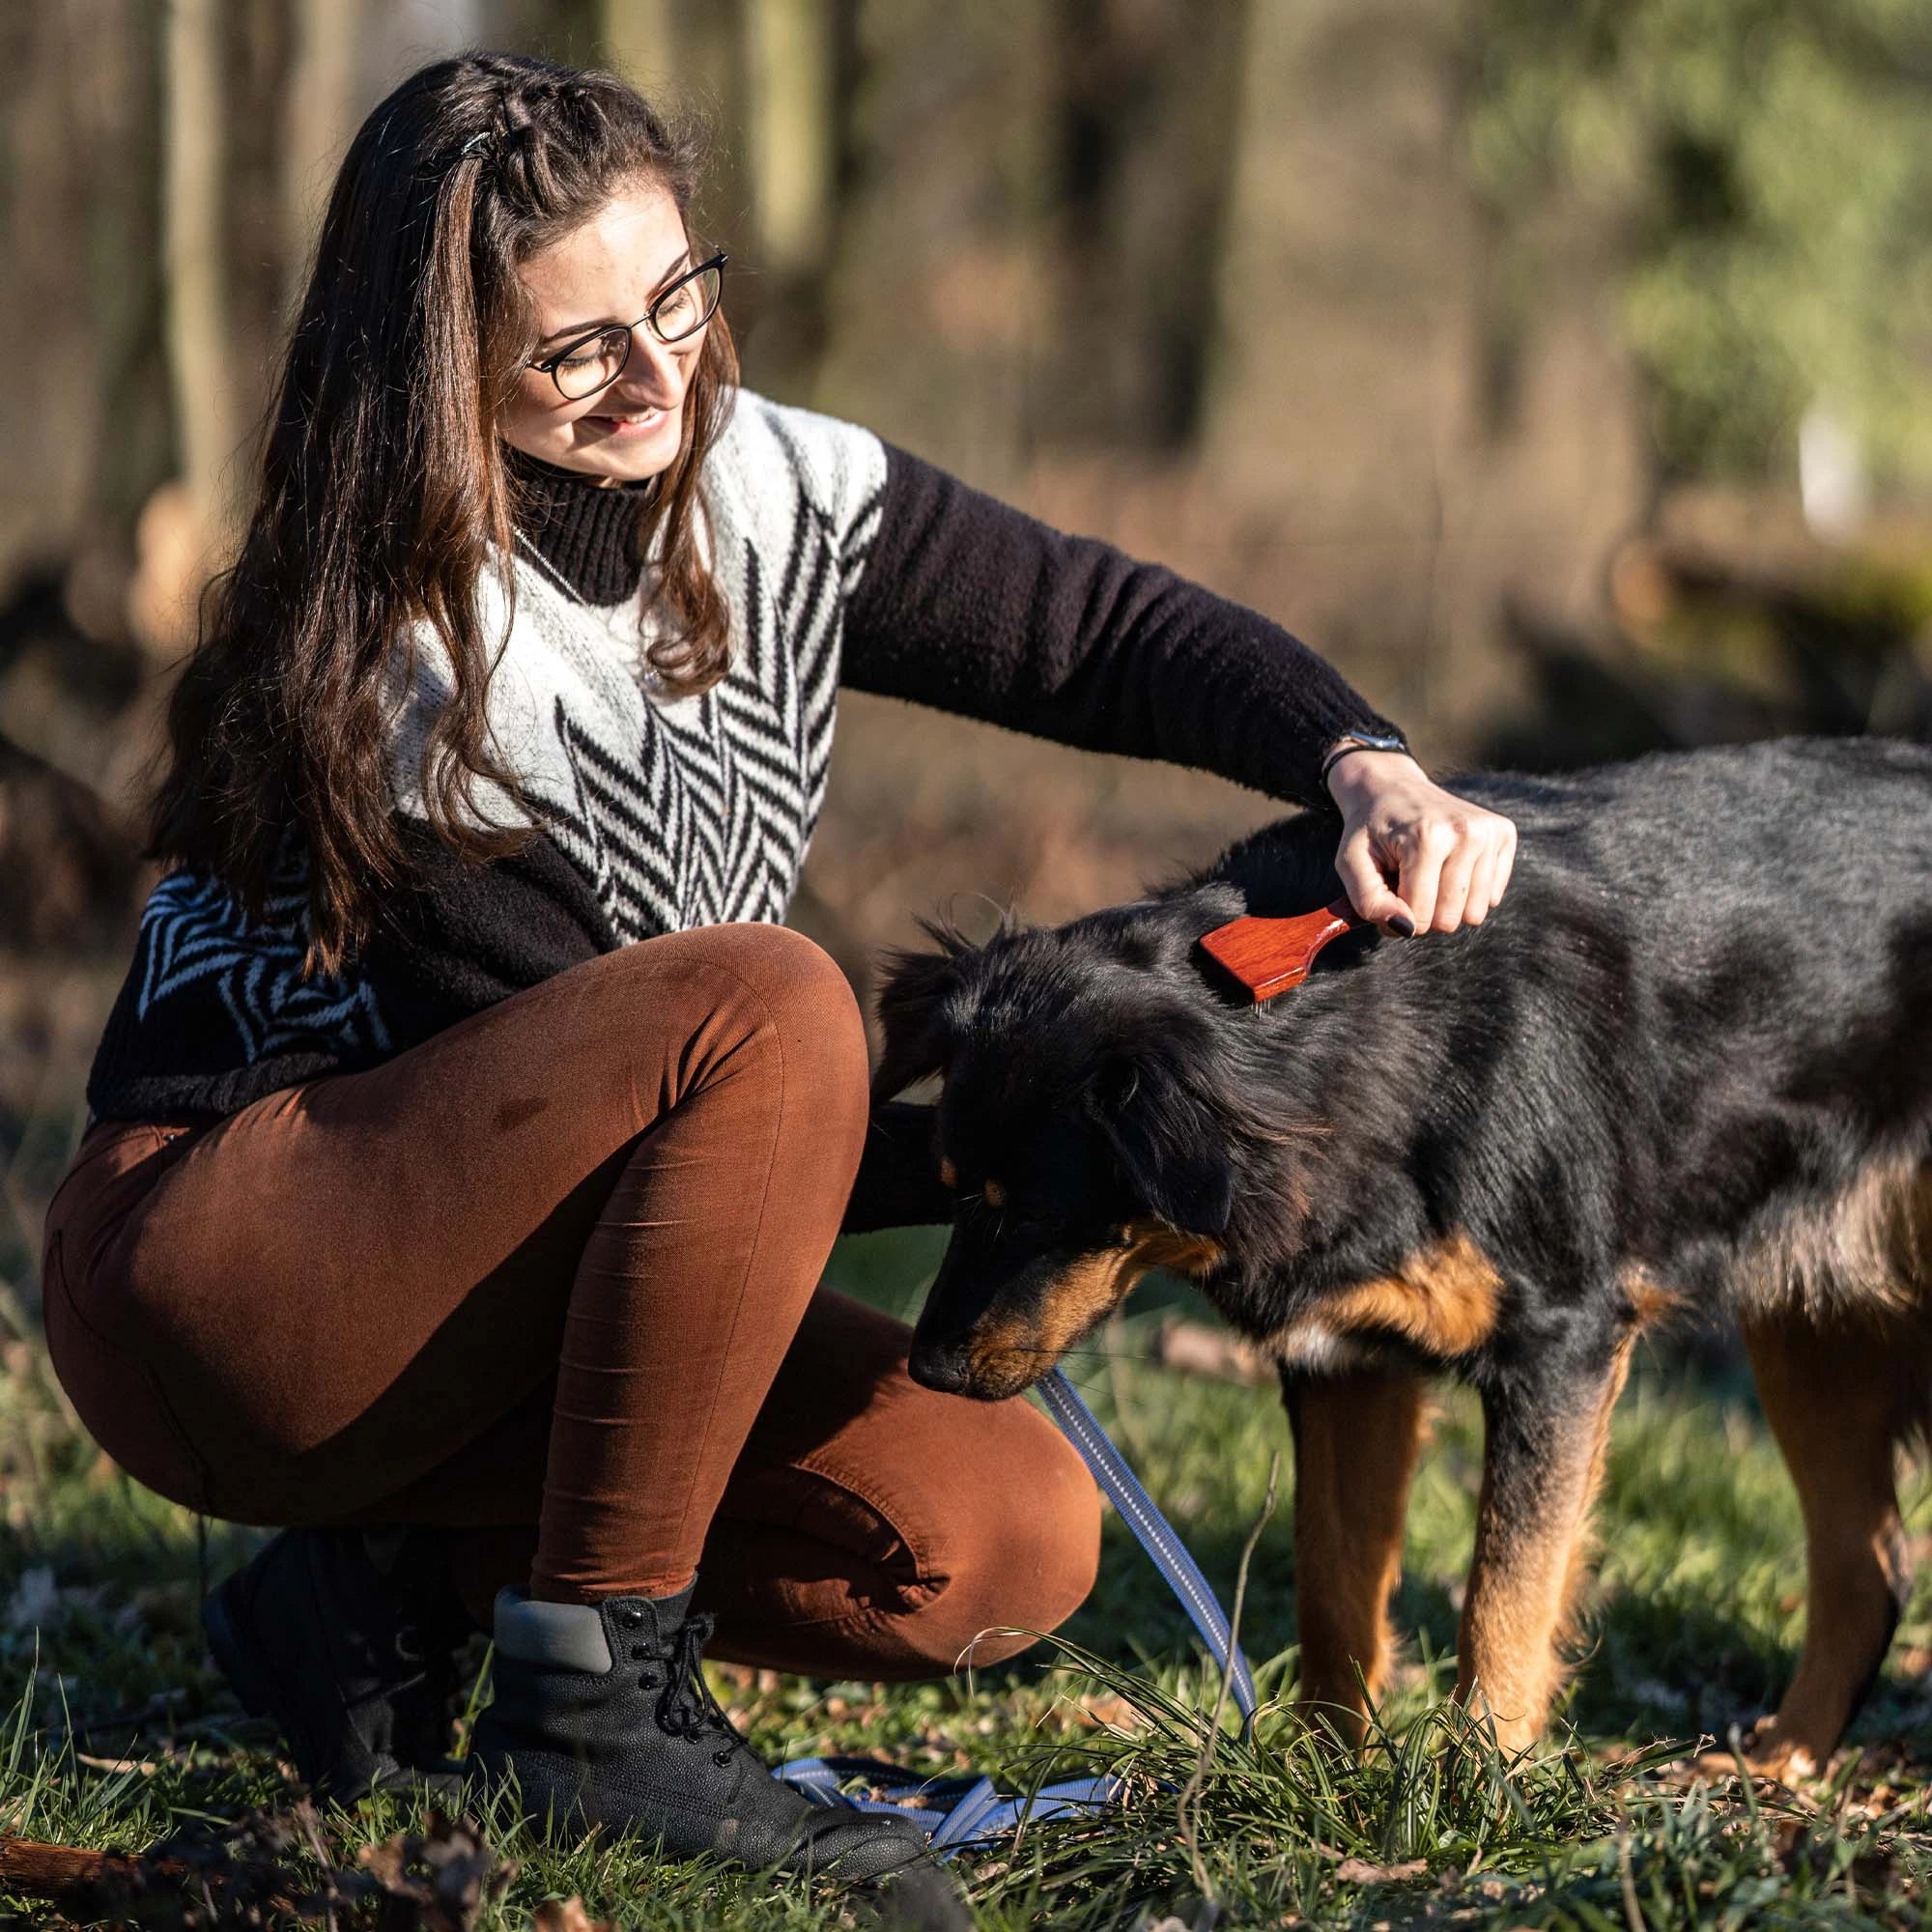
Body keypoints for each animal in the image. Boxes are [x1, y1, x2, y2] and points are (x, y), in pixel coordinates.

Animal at [873, 738, 1932, 1777]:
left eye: (1036, 1212)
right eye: (950, 1186)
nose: (928, 1369)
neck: (1315, 1023)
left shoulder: (1559, 1344)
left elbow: (1504, 1596)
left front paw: (1479, 1780)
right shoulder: (1345, 1359)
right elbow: (1334, 1586)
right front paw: (1321, 1776)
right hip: (1810, 1320)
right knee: (1866, 1566)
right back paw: (1782, 1764)